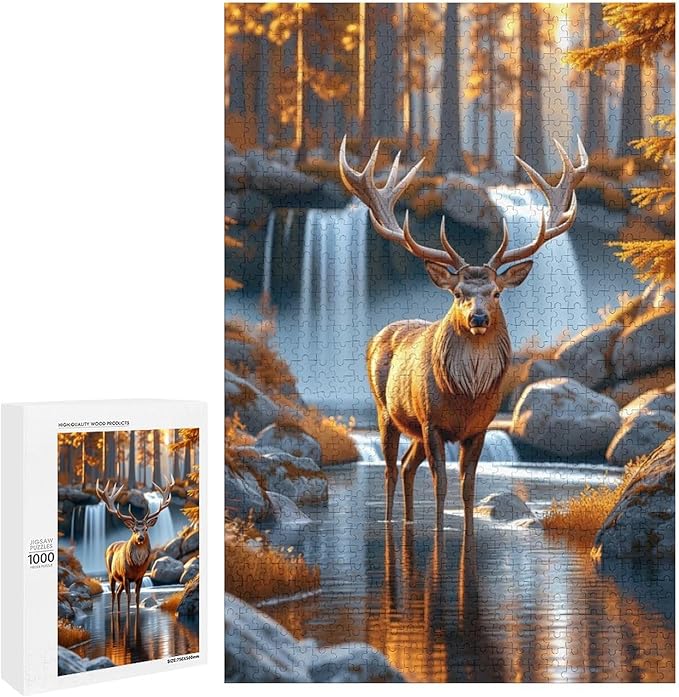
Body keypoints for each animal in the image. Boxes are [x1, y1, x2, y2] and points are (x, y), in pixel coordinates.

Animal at [95, 476, 174, 613]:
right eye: (134, 530)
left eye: (146, 529)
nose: (140, 537)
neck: (136, 565)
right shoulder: (125, 576)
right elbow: (129, 597)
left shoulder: (140, 577)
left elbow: (137, 597)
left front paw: (137, 612)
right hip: (111, 574)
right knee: (113, 593)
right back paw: (113, 612)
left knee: (118, 592)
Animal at [339, 135, 587, 533]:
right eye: (458, 294)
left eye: (496, 292)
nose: (478, 317)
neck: (466, 393)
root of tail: (377, 335)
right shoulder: (432, 422)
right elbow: (441, 483)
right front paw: (440, 532)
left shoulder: (479, 427)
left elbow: (468, 486)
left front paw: (468, 531)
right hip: (386, 411)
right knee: (391, 470)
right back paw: (392, 522)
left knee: (407, 466)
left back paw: (409, 522)